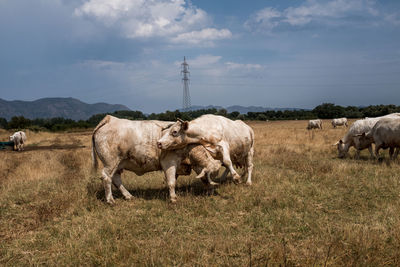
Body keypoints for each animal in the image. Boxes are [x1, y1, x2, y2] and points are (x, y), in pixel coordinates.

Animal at [91, 115, 222, 205]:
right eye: (211, 175)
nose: (212, 191)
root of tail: (110, 119)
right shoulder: (169, 163)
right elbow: (171, 182)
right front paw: (173, 198)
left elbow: (172, 180)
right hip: (111, 162)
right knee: (107, 177)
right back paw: (110, 200)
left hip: (118, 164)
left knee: (116, 179)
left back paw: (128, 196)